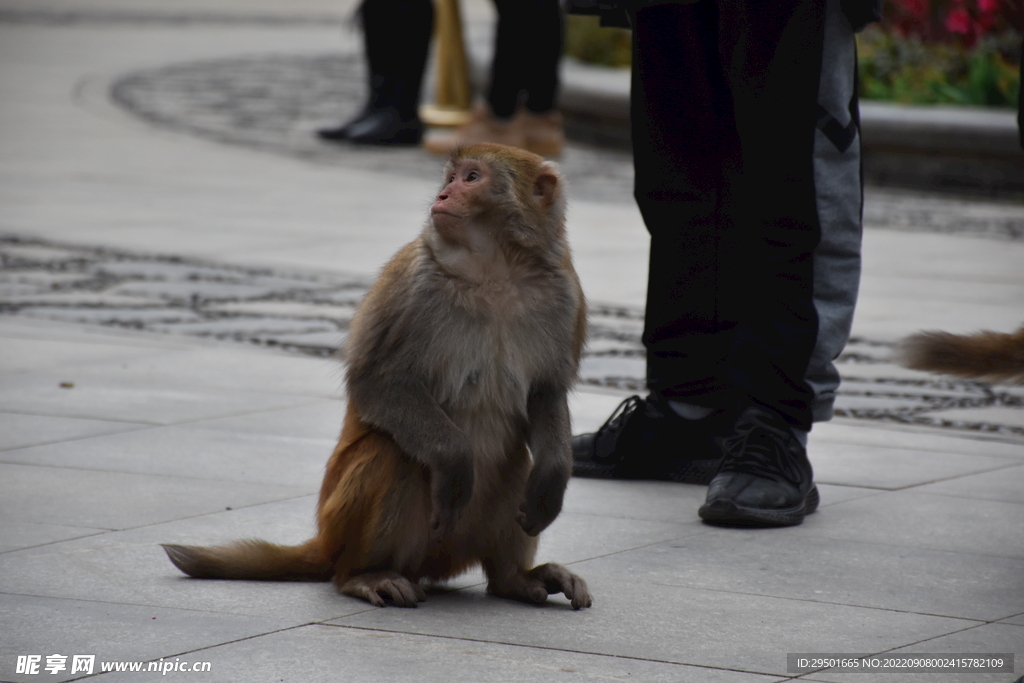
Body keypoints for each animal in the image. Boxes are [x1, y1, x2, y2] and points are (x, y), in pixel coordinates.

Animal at [160, 143, 593, 610]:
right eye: (451, 178)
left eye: (472, 178)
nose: (442, 196)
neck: (495, 269)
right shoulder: (411, 282)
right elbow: (375, 381)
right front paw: (455, 459)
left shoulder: (565, 294)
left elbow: (547, 393)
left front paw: (554, 477)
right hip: (348, 528)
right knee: (392, 454)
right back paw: (365, 575)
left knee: (516, 467)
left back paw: (514, 578)